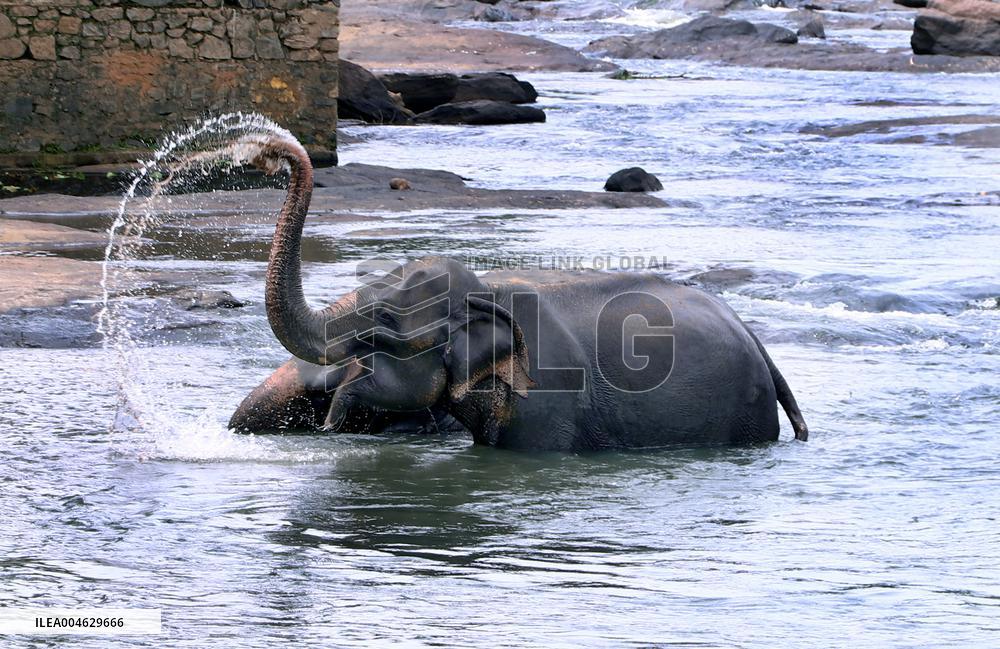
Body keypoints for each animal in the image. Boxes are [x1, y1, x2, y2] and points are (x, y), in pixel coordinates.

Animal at [232, 135, 808, 451]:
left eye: (383, 326)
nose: (267, 153)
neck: (488, 292)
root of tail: (754, 338)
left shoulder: (549, 401)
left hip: (746, 417)